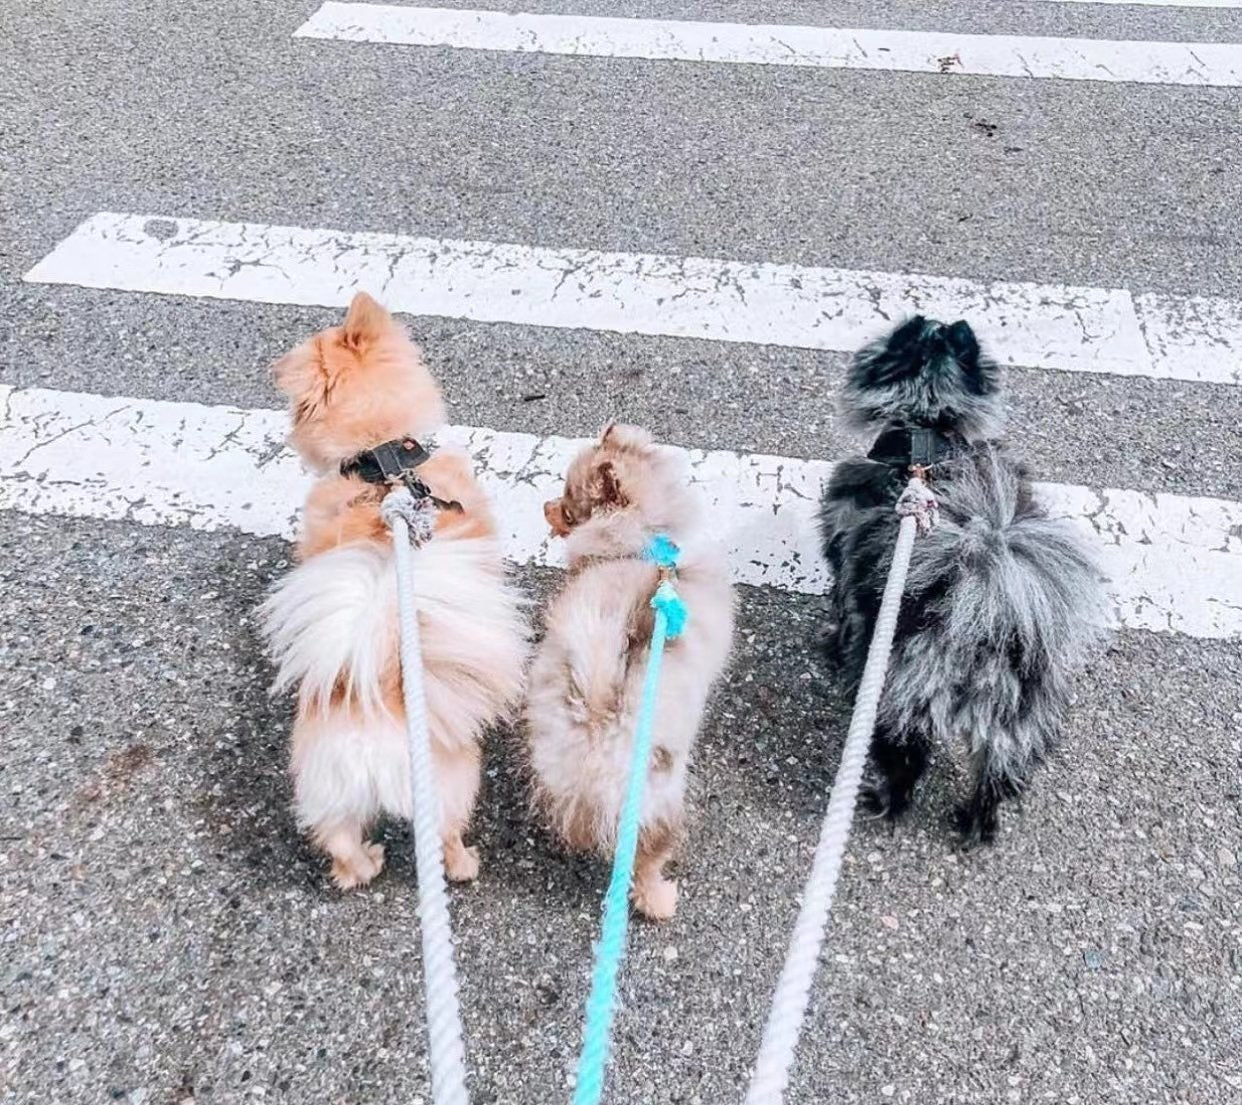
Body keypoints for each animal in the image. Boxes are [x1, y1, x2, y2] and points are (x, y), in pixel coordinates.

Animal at [257, 290, 529, 888]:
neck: (380, 462)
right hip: (451, 784)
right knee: (445, 841)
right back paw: (465, 865)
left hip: (328, 794)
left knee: (341, 848)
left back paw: (367, 863)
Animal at [824, 314, 1107, 839]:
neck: (926, 429)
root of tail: (986, 627)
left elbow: (841, 613)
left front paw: (831, 648)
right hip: (1018, 721)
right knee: (999, 775)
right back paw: (975, 825)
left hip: (899, 701)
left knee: (905, 763)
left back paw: (884, 799)